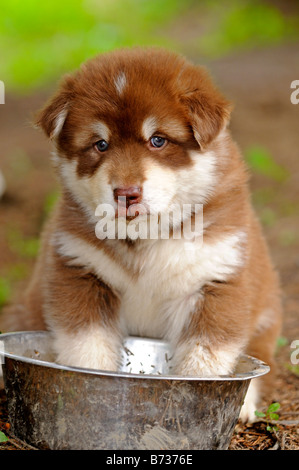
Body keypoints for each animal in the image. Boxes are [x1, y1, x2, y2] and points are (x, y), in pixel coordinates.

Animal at [0, 47, 282, 422]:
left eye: (157, 140)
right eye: (100, 144)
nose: (126, 193)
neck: (147, 237)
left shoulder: (217, 279)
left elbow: (204, 360)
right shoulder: (79, 271)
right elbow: (88, 349)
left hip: (266, 317)